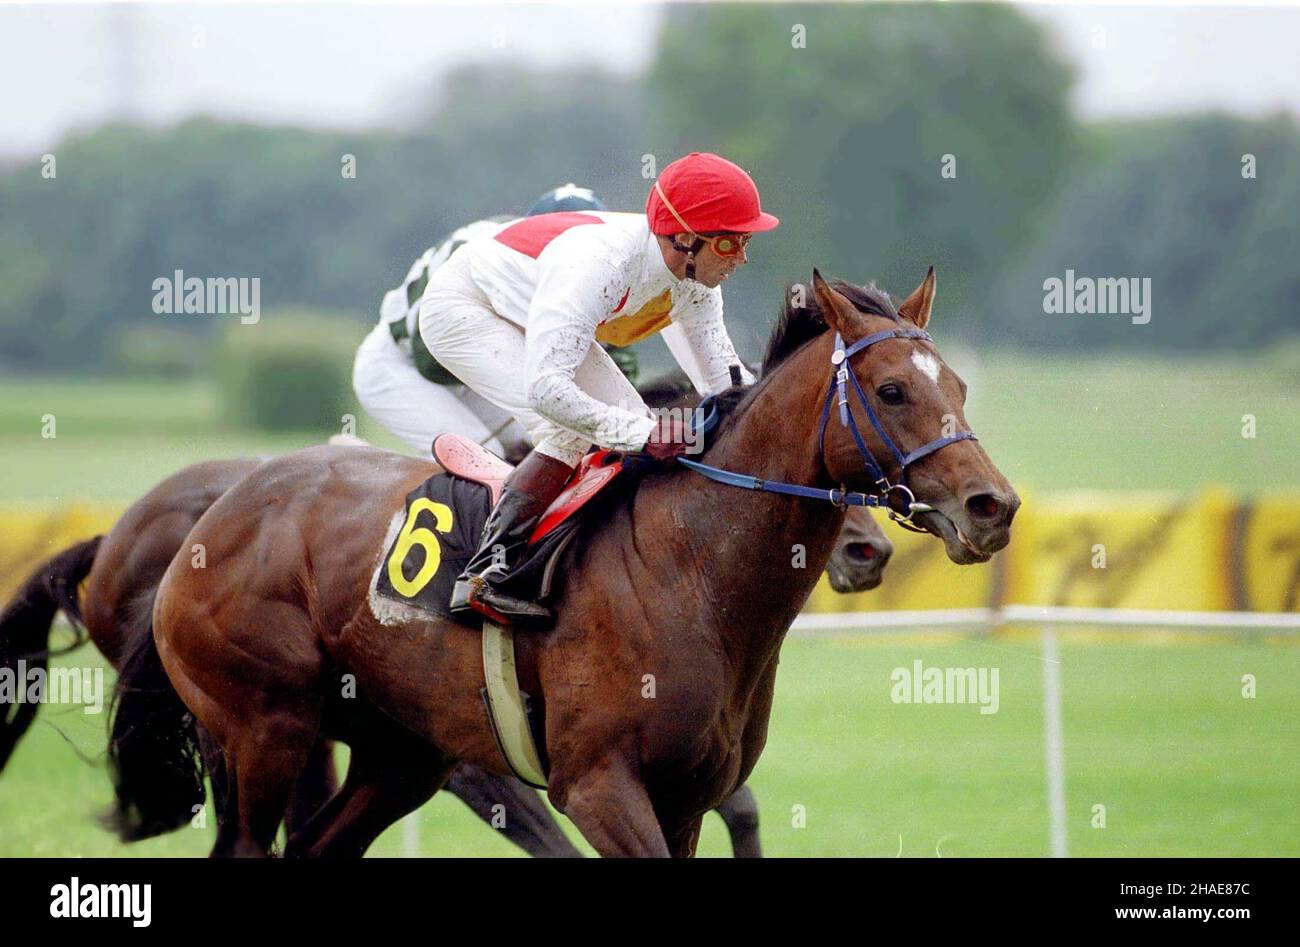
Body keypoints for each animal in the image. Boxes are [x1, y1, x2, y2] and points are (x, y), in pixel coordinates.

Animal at [152, 267, 1019, 858]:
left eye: (960, 384)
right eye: (893, 389)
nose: (993, 506)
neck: (689, 567)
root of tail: (222, 509)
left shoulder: (686, 795)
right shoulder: (598, 784)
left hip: (399, 754)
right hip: (264, 727)